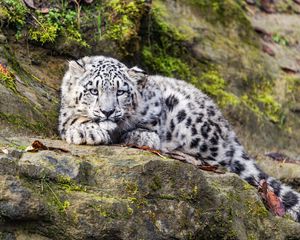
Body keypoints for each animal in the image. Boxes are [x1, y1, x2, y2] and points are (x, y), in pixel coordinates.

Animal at [58, 55, 300, 222]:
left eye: (120, 92)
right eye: (93, 90)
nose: (107, 111)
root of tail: (227, 125)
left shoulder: (156, 101)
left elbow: (150, 121)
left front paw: (140, 134)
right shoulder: (65, 112)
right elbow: (71, 118)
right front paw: (88, 131)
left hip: (194, 126)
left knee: (223, 157)